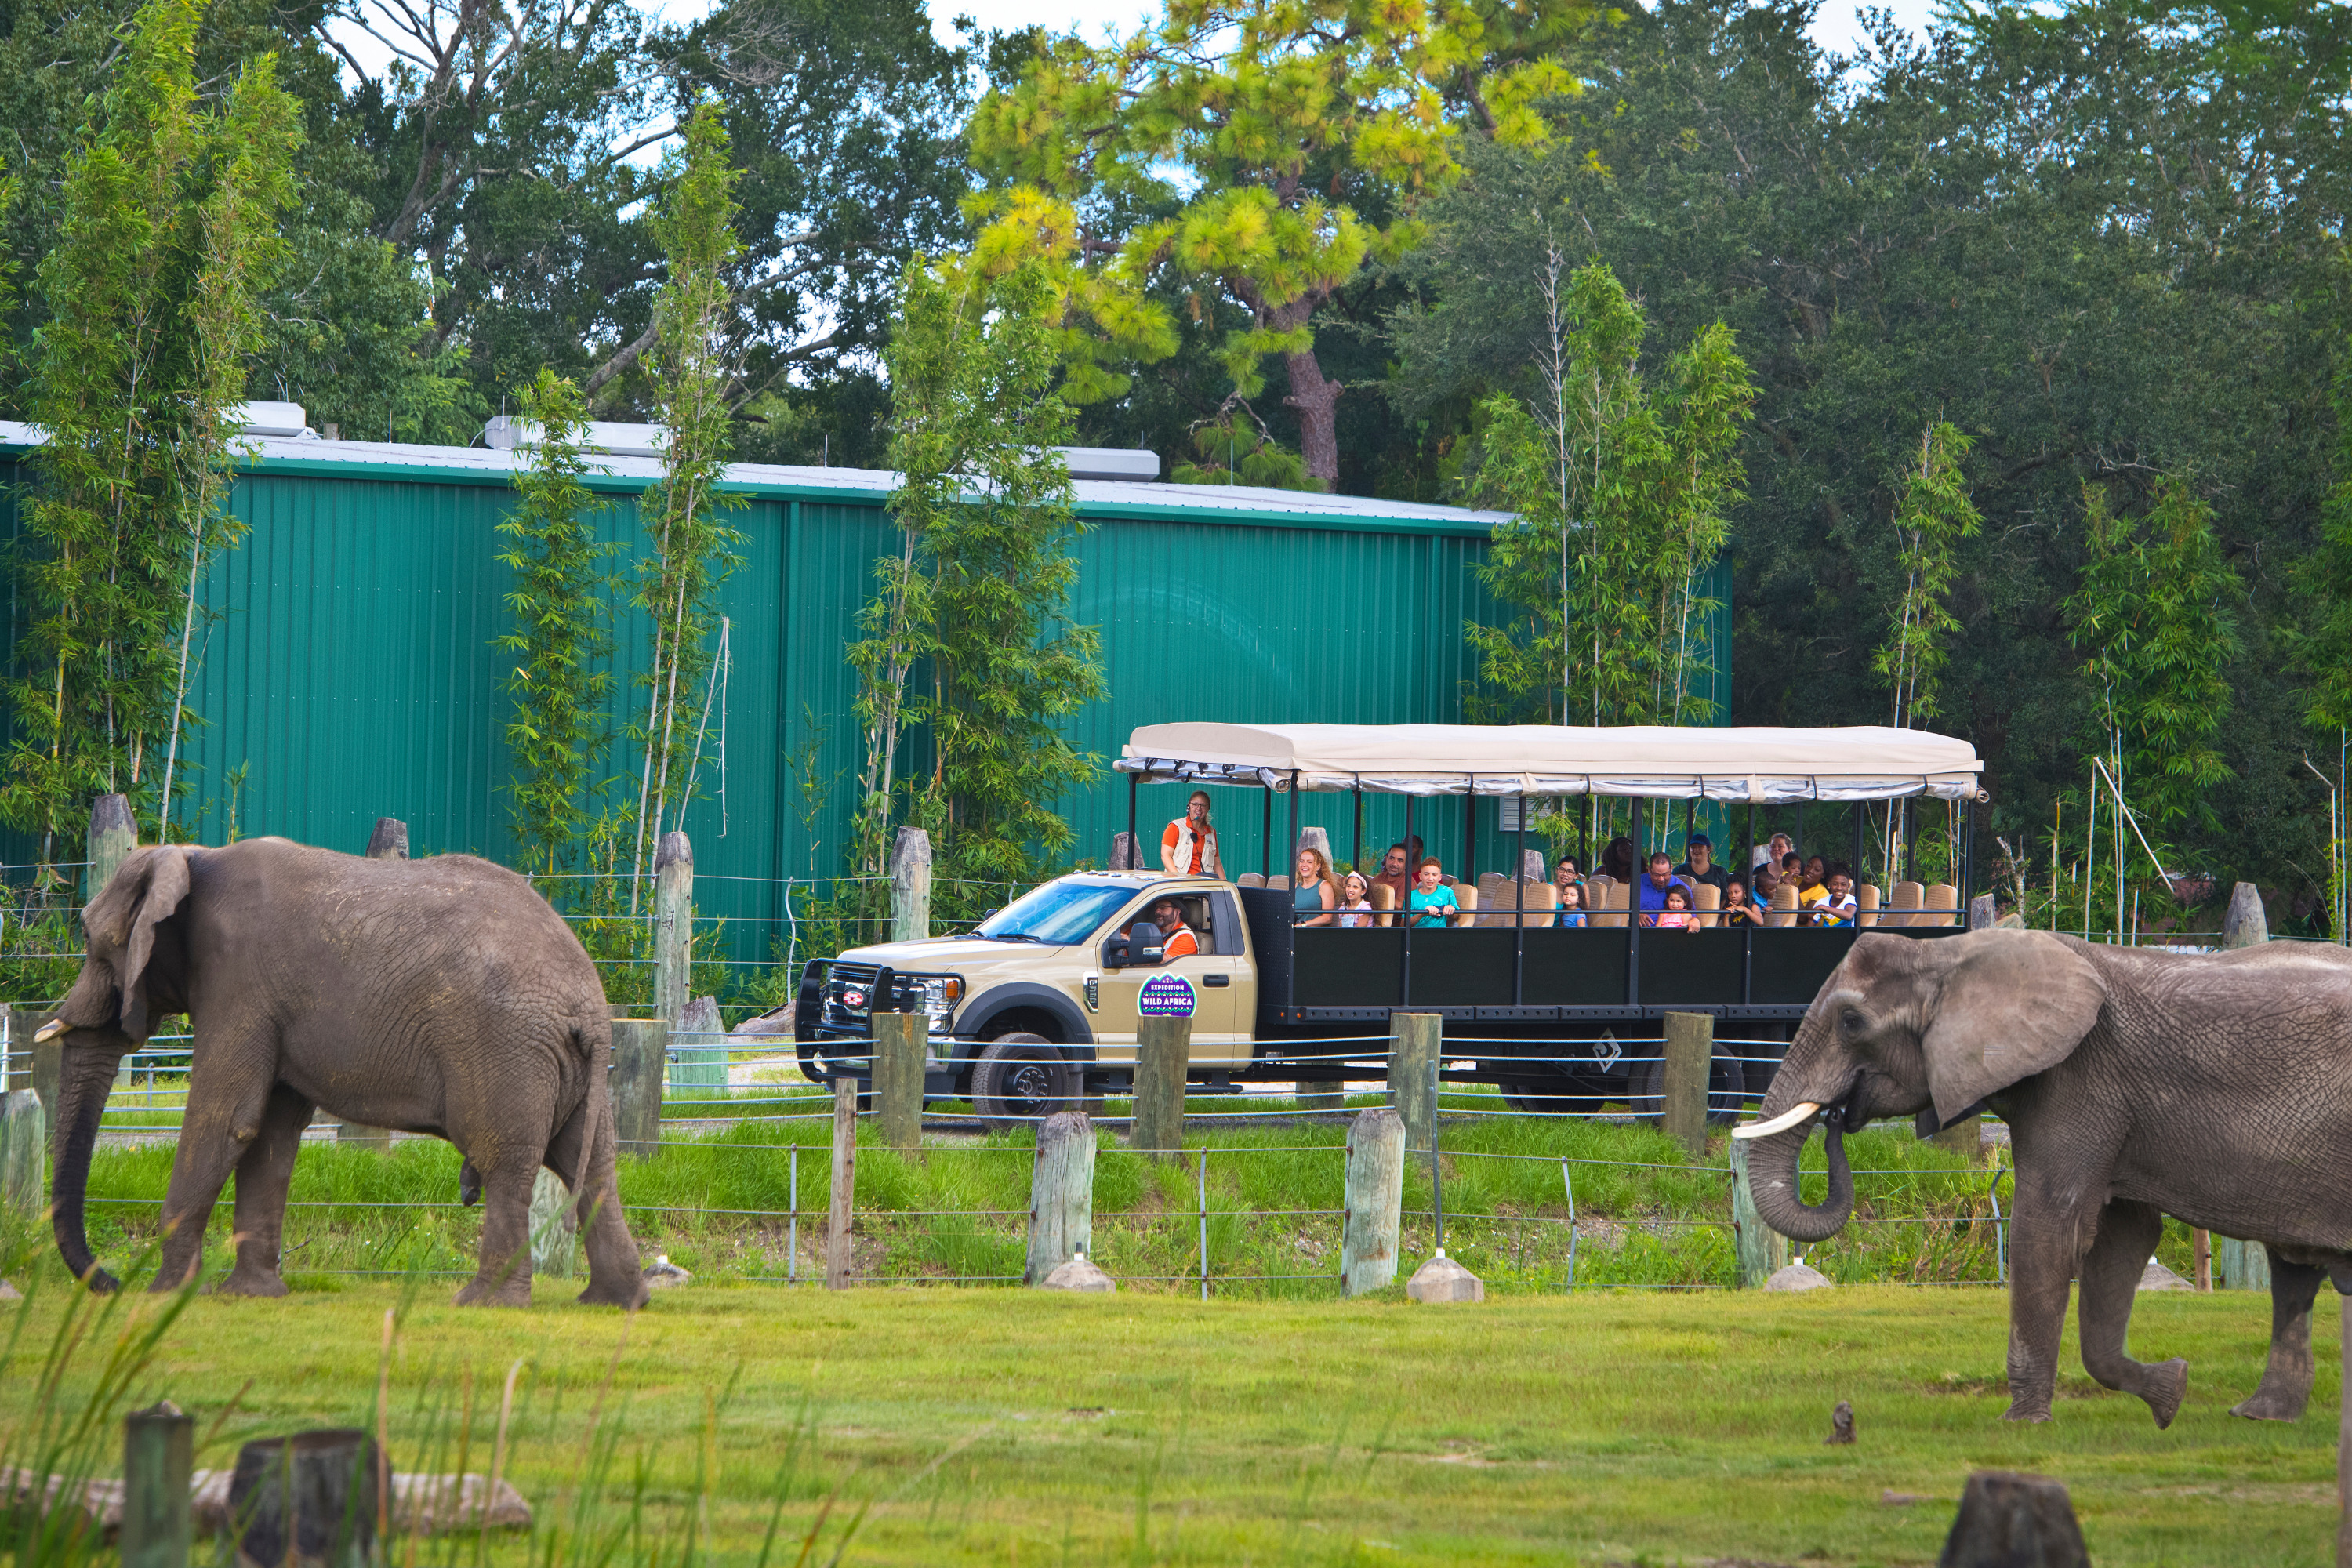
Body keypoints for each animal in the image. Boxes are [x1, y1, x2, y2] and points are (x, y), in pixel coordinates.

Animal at [45, 841, 649, 1307]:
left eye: (91, 941)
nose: (111, 1283)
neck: (192, 856)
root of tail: (591, 1006)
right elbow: (270, 1133)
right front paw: (250, 1295)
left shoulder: (237, 982)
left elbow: (226, 1119)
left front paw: (165, 1296)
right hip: (561, 1063)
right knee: (590, 1163)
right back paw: (616, 1302)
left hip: (505, 1047)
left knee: (505, 1159)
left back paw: (484, 1302)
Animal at [1731, 926, 2352, 1429]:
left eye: (1851, 1021)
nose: (1837, 1116)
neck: (1949, 953)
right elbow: (2122, 1238)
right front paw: (2170, 1391)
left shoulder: (2081, 1079)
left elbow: (2049, 1231)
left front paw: (2021, 1423)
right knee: (2293, 1271)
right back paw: (2261, 1416)